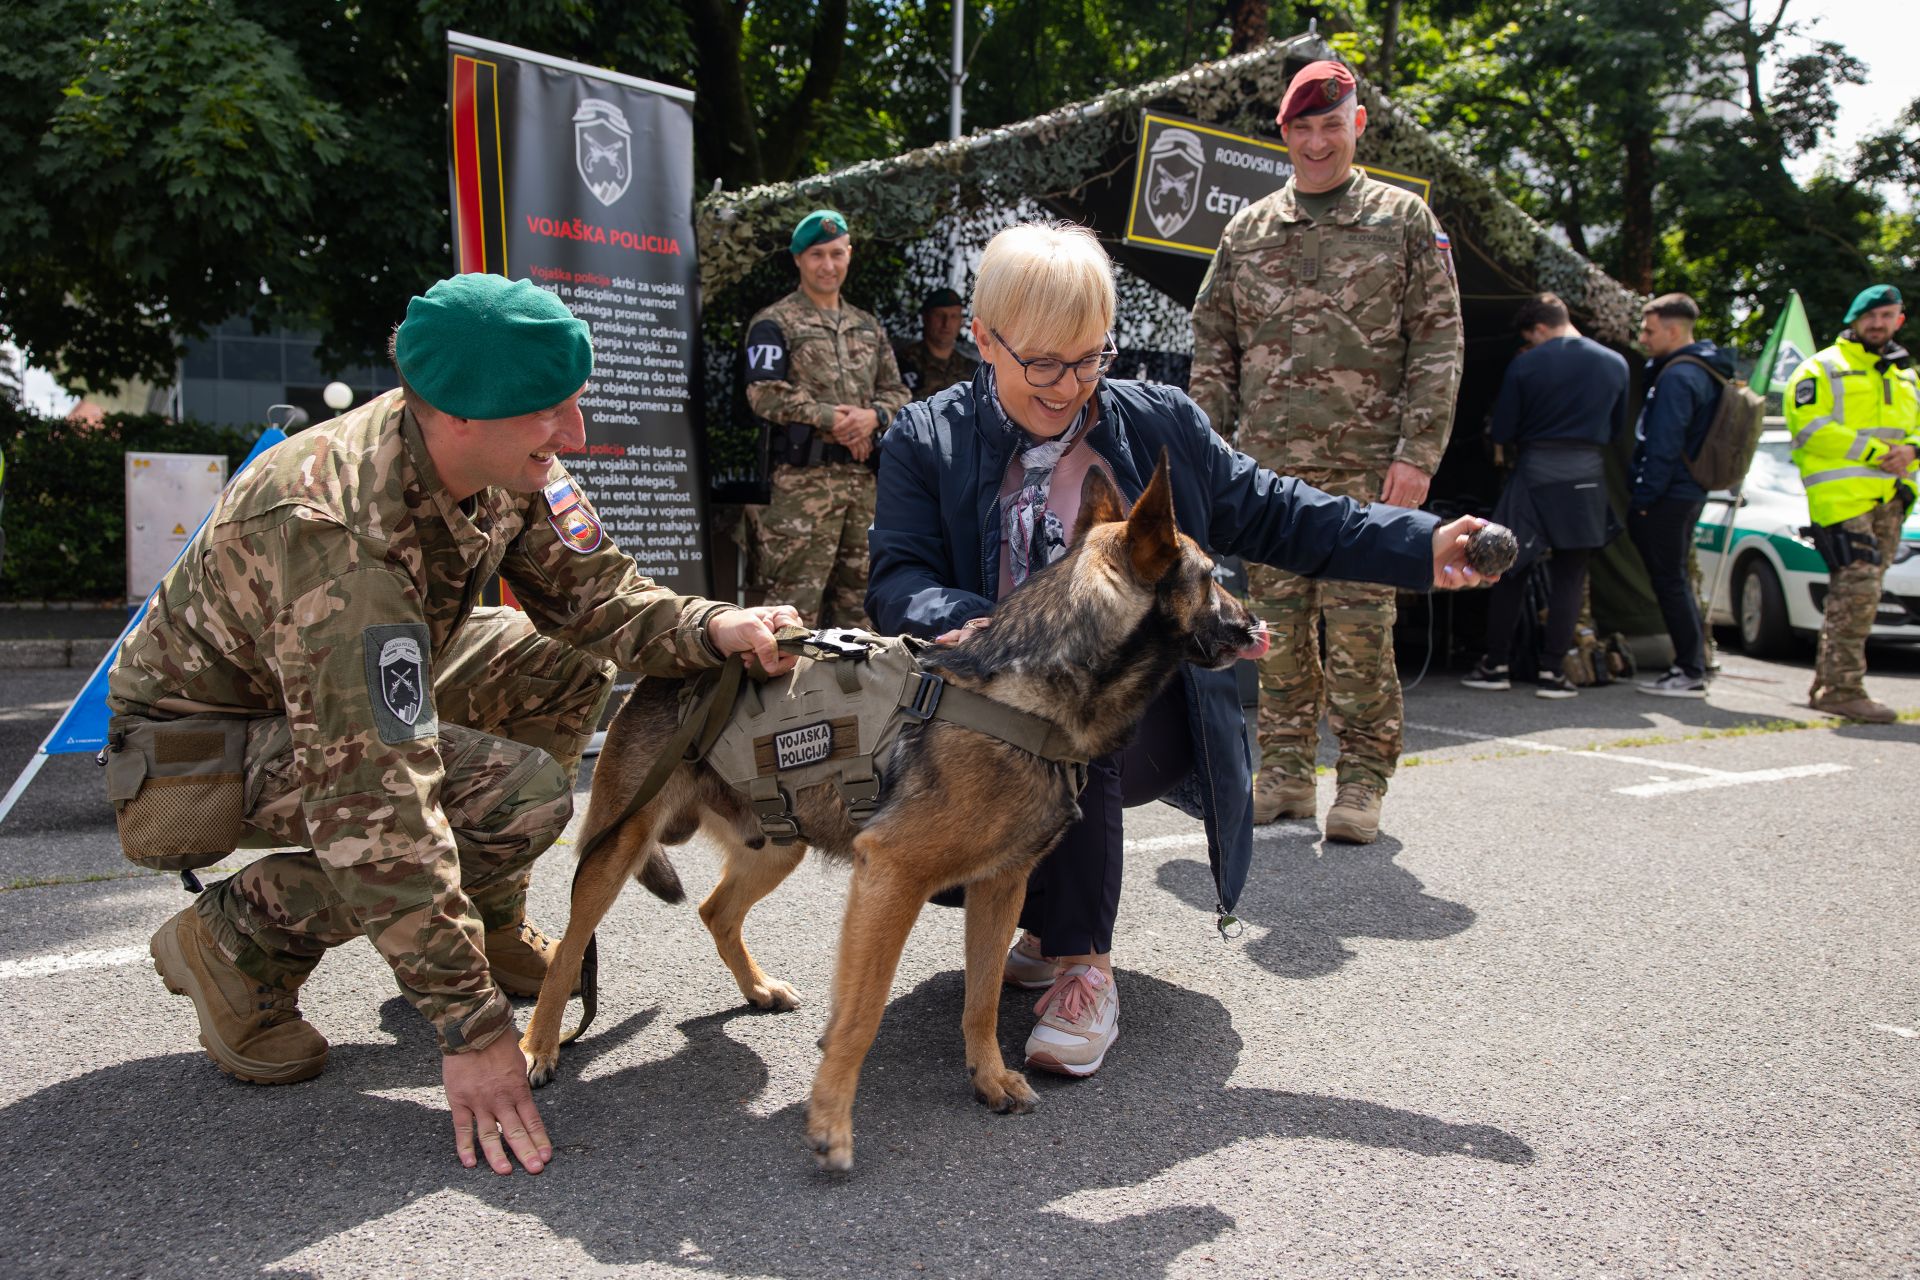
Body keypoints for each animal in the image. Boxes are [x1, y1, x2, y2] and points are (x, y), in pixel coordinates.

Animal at [520, 456, 1271, 1171]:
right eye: (1211, 577)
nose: (1256, 624)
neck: (1027, 693)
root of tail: (669, 670)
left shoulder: (999, 886)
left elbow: (982, 999)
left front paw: (988, 1078)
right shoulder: (890, 879)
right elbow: (862, 1014)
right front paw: (831, 1124)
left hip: (779, 844)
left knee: (715, 910)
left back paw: (756, 988)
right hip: (616, 848)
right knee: (568, 951)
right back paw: (537, 1047)